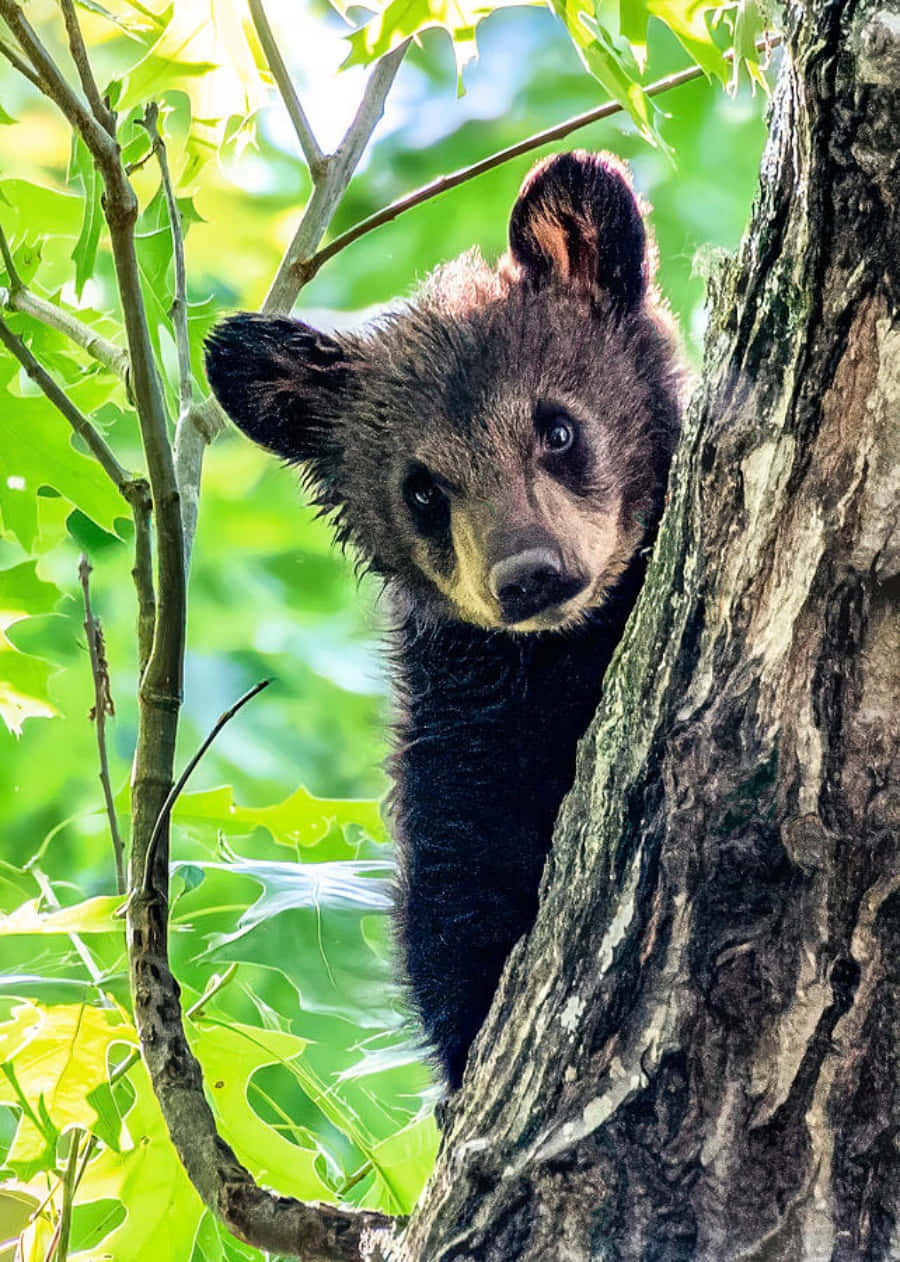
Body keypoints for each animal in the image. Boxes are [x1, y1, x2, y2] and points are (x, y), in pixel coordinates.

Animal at [204, 151, 683, 1090]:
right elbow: (452, 885)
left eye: (558, 429)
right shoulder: (459, 729)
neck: (565, 658)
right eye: (422, 489)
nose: (529, 577)